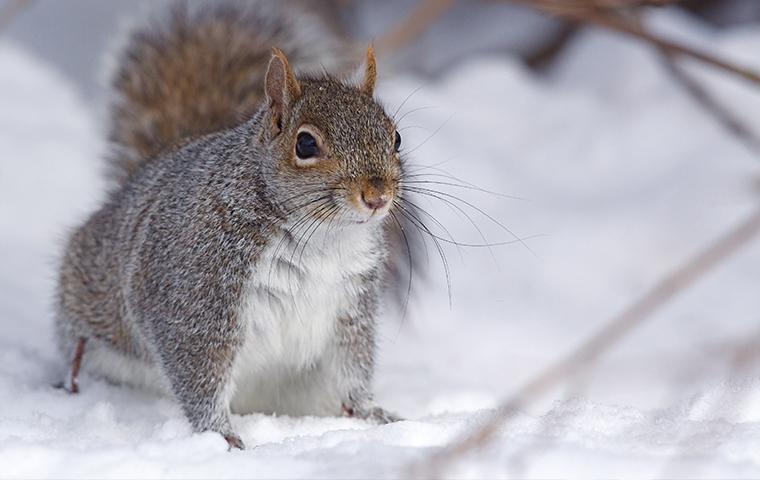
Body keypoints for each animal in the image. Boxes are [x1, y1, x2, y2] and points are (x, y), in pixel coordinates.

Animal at [55, 1, 404, 450]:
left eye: (395, 137)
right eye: (306, 143)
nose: (377, 196)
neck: (321, 236)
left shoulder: (352, 305)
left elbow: (353, 366)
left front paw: (370, 414)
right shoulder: (195, 293)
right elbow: (199, 372)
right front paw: (221, 435)